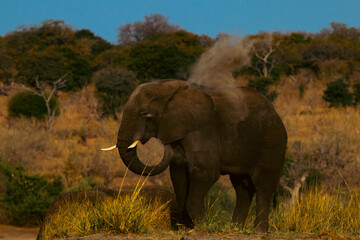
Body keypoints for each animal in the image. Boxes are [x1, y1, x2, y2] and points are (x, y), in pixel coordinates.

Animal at [103, 79, 286, 232]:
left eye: (146, 114)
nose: (166, 146)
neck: (170, 89)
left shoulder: (202, 131)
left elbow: (206, 173)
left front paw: (204, 226)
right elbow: (179, 175)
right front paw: (183, 228)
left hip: (272, 143)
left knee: (263, 185)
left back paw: (259, 231)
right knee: (242, 187)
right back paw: (235, 229)